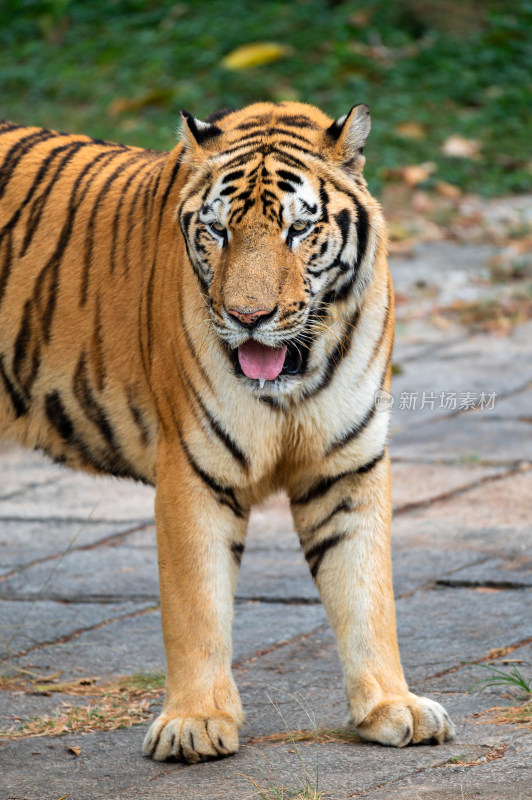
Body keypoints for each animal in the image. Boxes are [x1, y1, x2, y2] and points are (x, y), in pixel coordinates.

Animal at [0, 101, 456, 764]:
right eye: (217, 231)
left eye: (298, 229)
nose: (248, 318)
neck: (298, 374)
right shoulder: (194, 469)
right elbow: (196, 605)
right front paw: (194, 721)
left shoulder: (347, 466)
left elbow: (367, 593)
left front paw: (392, 705)